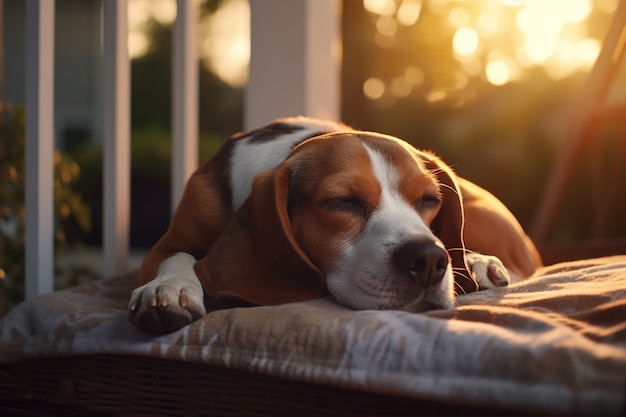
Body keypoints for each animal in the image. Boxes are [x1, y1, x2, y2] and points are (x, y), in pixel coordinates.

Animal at [128, 115, 540, 334]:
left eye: (429, 200)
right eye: (342, 202)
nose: (427, 261)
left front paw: (471, 262)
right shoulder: (164, 245)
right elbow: (179, 256)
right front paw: (169, 288)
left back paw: (478, 263)